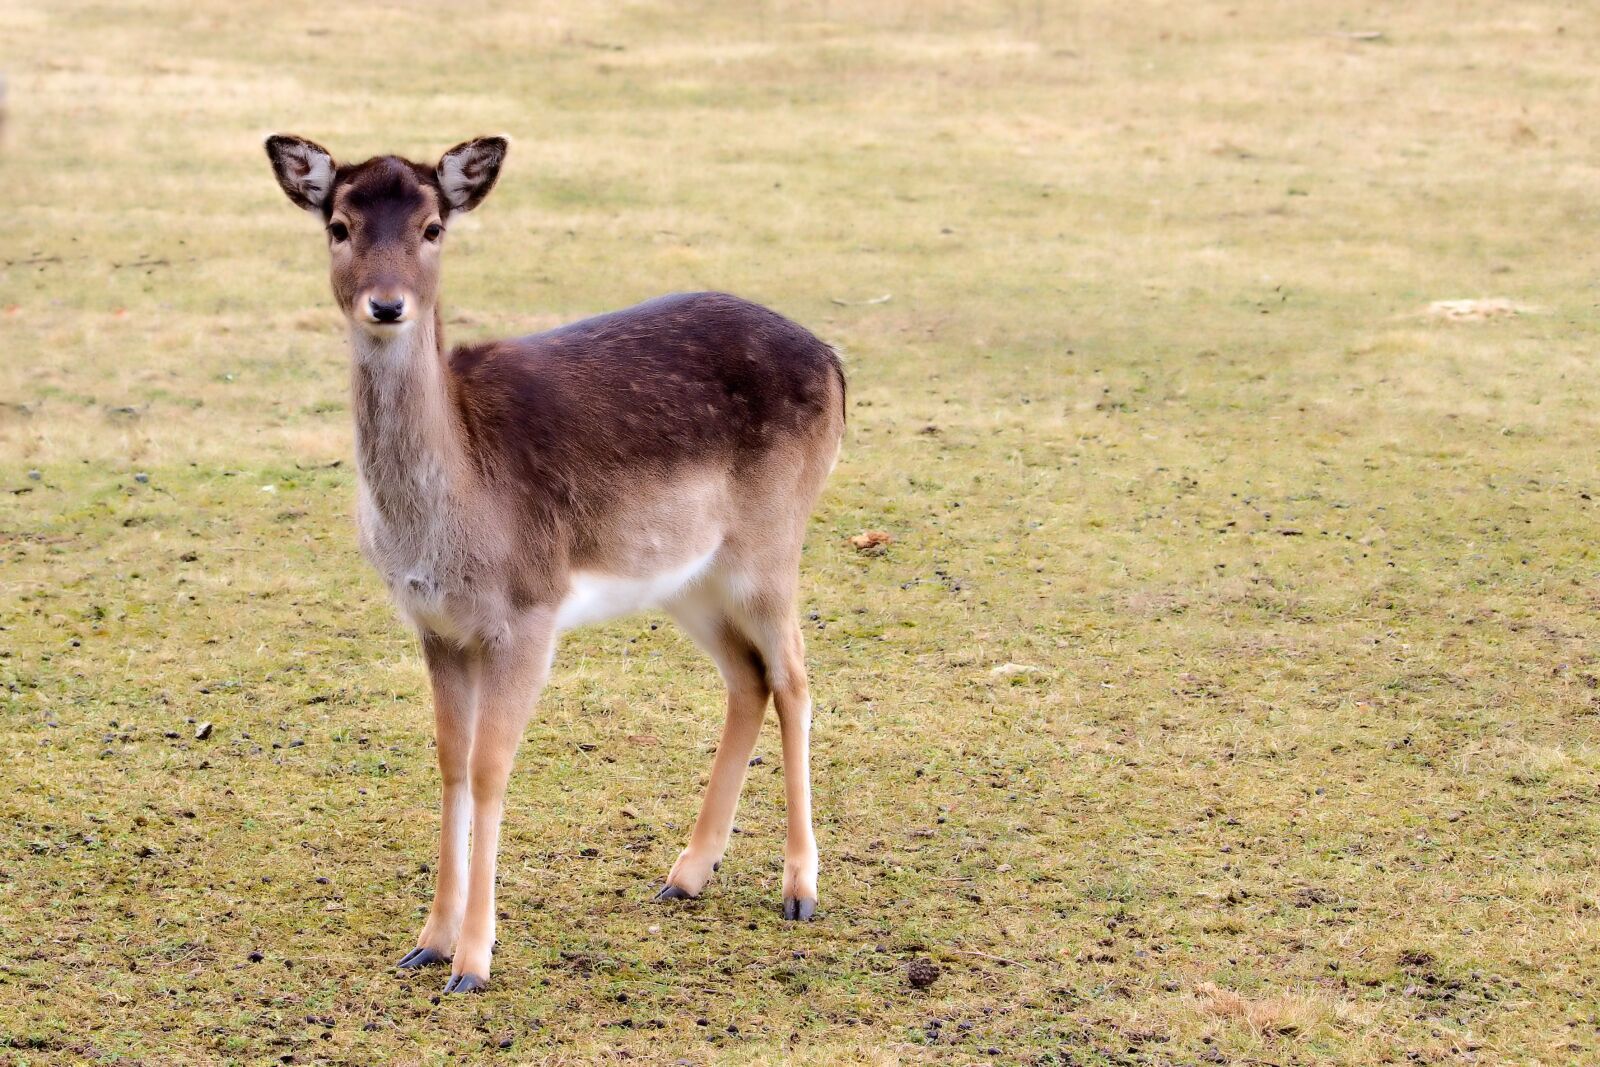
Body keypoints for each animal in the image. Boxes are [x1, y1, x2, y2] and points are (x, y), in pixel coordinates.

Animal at [264, 135, 845, 993]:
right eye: (339, 225)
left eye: (434, 226)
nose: (388, 304)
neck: (449, 518)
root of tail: (836, 360)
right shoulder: (435, 623)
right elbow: (450, 763)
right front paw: (426, 941)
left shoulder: (528, 612)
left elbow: (490, 767)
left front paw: (473, 961)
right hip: (688, 578)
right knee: (748, 678)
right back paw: (685, 873)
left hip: (771, 544)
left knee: (796, 675)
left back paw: (799, 887)